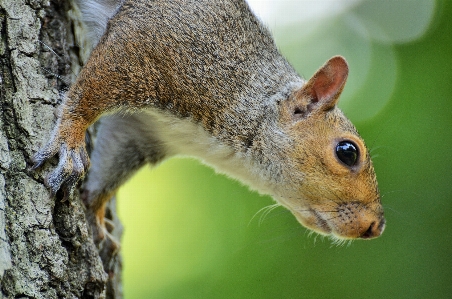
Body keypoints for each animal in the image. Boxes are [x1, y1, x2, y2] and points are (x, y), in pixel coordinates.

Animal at [32, 0, 384, 245]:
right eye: (348, 152)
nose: (376, 227)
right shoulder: (152, 41)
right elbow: (87, 94)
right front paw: (70, 142)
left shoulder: (142, 132)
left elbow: (110, 167)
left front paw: (95, 211)